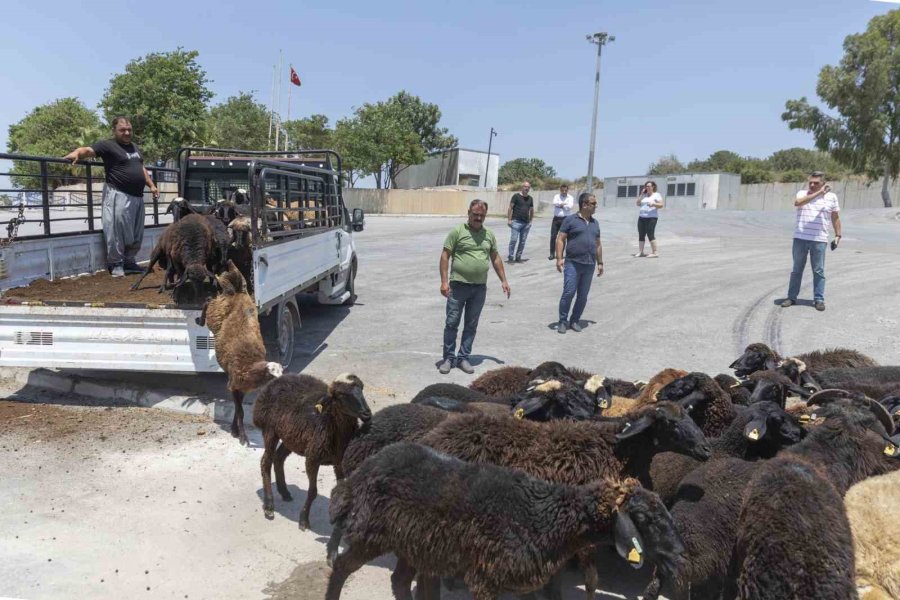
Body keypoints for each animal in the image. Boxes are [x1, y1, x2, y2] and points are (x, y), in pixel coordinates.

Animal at [196, 262, 282, 446]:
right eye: (272, 373)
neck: (250, 365)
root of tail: (236, 289)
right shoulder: (234, 384)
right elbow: (240, 411)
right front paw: (243, 438)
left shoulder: (241, 388)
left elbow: (238, 410)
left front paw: (234, 431)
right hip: (215, 312)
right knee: (208, 301)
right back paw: (199, 320)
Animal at [251, 370, 370, 528]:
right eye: (341, 395)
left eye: (362, 388)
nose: (367, 413)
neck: (329, 419)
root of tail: (276, 380)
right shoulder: (313, 458)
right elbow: (313, 491)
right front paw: (303, 520)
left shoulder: (339, 461)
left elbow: (340, 488)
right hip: (270, 430)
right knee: (265, 461)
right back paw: (269, 506)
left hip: (291, 436)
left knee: (278, 458)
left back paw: (284, 492)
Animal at [324, 440, 684, 600]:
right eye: (644, 519)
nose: (679, 554)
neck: (547, 517)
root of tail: (365, 469)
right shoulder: (485, 578)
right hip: (370, 532)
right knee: (341, 567)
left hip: (413, 543)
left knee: (399, 581)